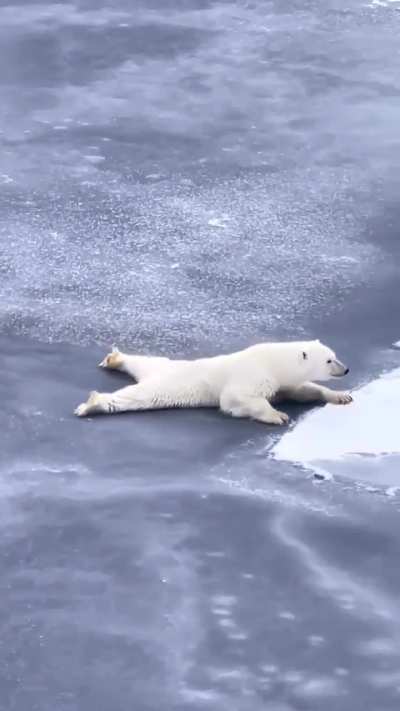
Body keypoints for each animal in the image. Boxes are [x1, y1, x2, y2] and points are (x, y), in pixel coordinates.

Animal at [74, 339, 352, 425]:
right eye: (329, 360)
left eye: (334, 355)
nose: (346, 368)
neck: (274, 361)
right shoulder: (252, 374)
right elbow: (234, 398)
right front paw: (278, 416)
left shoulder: (281, 381)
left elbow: (300, 390)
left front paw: (341, 396)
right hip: (167, 384)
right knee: (137, 398)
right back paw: (92, 403)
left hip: (162, 366)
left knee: (145, 361)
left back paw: (116, 359)